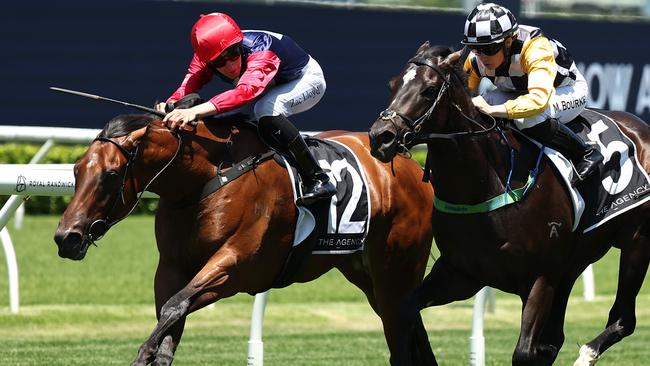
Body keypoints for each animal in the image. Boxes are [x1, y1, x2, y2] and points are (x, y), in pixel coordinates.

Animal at [52, 113, 436, 364]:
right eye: (76, 170)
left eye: (111, 174)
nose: (66, 237)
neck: (207, 179)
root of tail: (413, 166)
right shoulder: (172, 268)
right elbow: (170, 318)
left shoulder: (240, 266)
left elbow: (175, 307)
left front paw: (142, 354)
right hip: (366, 274)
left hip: (395, 271)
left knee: (402, 341)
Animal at [368, 41, 648, 364]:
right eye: (392, 84)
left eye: (428, 90)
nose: (381, 137)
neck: (488, 185)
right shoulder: (460, 274)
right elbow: (403, 314)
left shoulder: (540, 277)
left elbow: (525, 352)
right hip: (573, 262)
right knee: (558, 336)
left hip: (636, 241)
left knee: (624, 319)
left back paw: (587, 354)